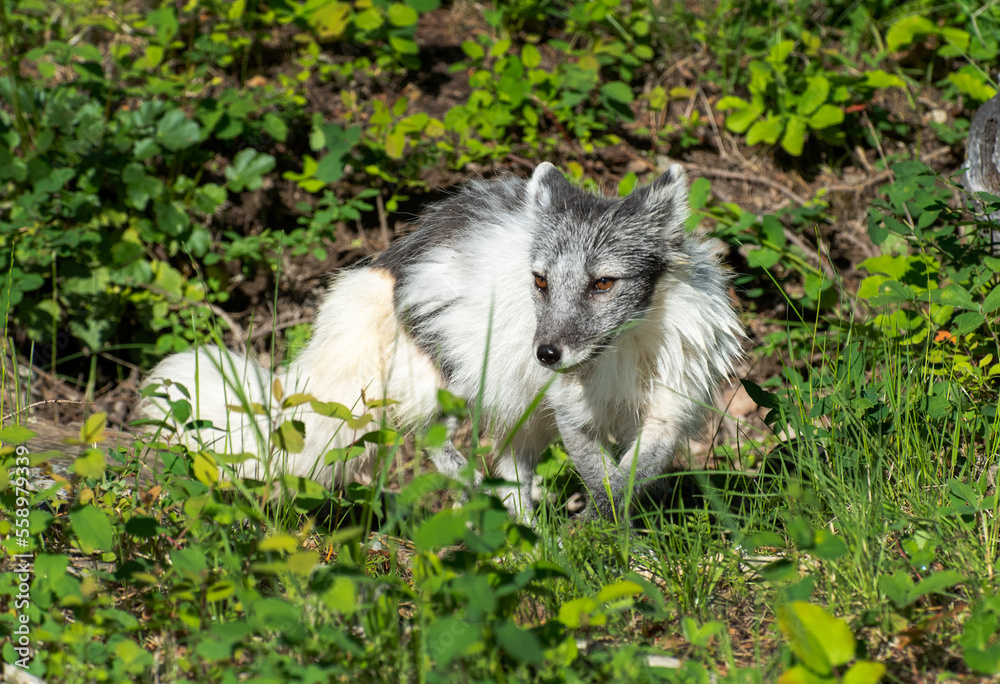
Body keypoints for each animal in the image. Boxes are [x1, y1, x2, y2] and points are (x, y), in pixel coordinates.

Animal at [139, 164, 744, 524]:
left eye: (603, 283)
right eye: (540, 281)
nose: (546, 354)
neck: (625, 345)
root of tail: (387, 266)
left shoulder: (670, 404)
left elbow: (637, 471)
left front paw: (610, 529)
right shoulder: (570, 408)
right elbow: (602, 479)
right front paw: (603, 536)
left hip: (519, 407)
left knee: (511, 465)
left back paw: (527, 529)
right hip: (451, 380)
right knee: (436, 443)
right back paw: (490, 503)